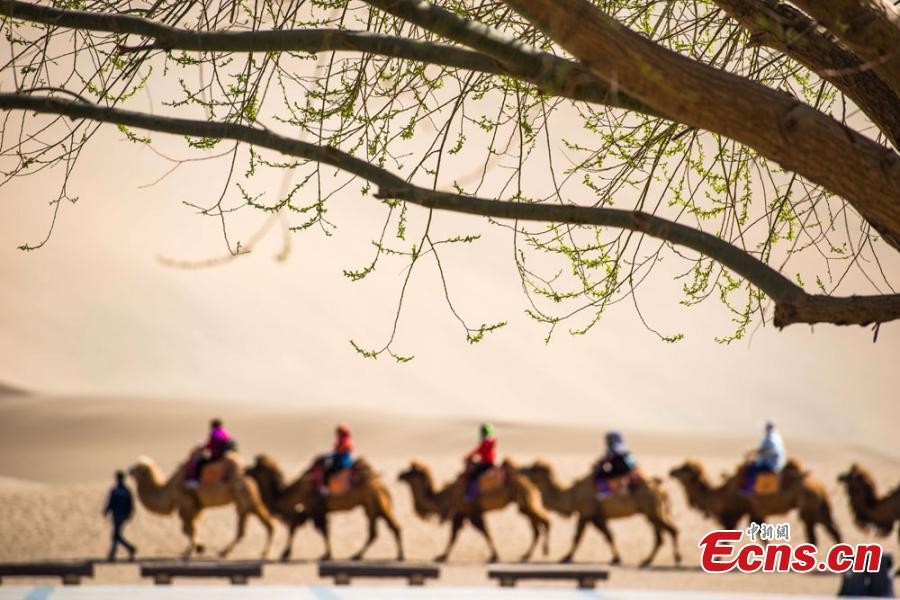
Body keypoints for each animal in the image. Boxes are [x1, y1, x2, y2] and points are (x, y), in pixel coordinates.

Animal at [128, 452, 272, 560]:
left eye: (137, 468)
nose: (128, 470)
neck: (169, 488)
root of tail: (245, 469)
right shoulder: (197, 505)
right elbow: (193, 527)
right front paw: (198, 547)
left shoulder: (186, 502)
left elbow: (187, 528)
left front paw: (190, 551)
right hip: (247, 498)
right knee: (262, 523)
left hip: (243, 495)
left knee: (246, 528)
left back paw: (225, 552)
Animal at [244, 454, 402, 564]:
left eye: (256, 467)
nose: (245, 470)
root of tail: (379, 483)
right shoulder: (309, 510)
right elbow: (299, 527)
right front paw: (287, 553)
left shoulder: (314, 507)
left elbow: (320, 530)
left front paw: (325, 555)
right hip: (374, 505)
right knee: (386, 529)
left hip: (373, 502)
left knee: (378, 531)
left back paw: (360, 555)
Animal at [400, 460, 548, 564]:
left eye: (411, 471)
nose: (399, 475)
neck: (449, 494)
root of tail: (529, 482)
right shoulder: (462, 513)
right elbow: (454, 535)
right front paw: (442, 556)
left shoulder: (471, 512)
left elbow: (484, 531)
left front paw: (494, 556)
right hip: (524, 504)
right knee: (537, 528)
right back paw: (527, 555)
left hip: (525, 500)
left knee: (543, 523)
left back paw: (542, 551)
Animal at [516, 462, 680, 564]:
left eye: (535, 468)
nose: (521, 469)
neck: (572, 494)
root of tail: (661, 488)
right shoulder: (596, 517)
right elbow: (608, 535)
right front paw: (616, 558)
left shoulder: (587, 515)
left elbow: (578, 537)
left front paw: (566, 557)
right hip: (652, 513)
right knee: (661, 536)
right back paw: (647, 560)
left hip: (653, 511)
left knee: (671, 531)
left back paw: (674, 558)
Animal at [672, 460, 840, 544]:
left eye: (686, 468)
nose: (671, 471)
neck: (723, 493)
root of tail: (820, 487)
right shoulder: (755, 514)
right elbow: (763, 538)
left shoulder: (736, 513)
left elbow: (725, 538)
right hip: (818, 508)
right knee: (833, 530)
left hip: (809, 508)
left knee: (816, 535)